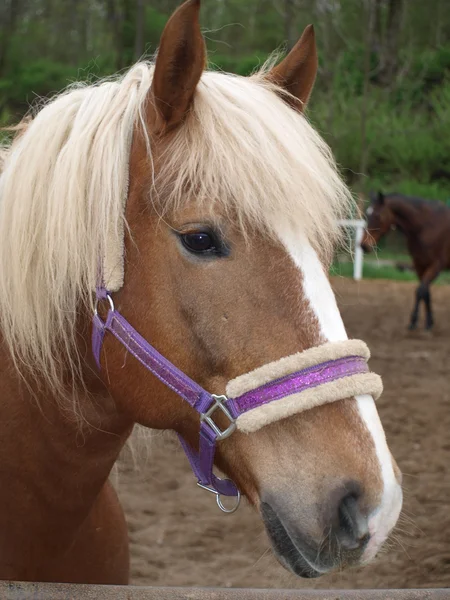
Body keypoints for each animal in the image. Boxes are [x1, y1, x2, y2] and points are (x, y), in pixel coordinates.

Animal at [360, 191, 450, 330]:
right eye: (367, 214)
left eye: (377, 215)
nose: (364, 245)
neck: (427, 226)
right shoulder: (419, 265)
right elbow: (426, 293)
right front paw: (429, 322)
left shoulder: (436, 266)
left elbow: (420, 291)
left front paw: (413, 321)